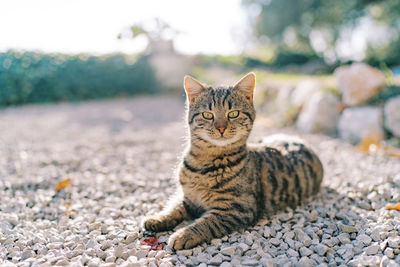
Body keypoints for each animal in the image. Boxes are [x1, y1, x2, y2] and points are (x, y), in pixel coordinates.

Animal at [142, 73, 324, 251]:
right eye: (208, 114)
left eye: (233, 114)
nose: (221, 128)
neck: (204, 162)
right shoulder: (188, 198)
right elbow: (174, 207)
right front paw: (157, 218)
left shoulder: (236, 209)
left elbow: (206, 223)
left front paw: (183, 235)